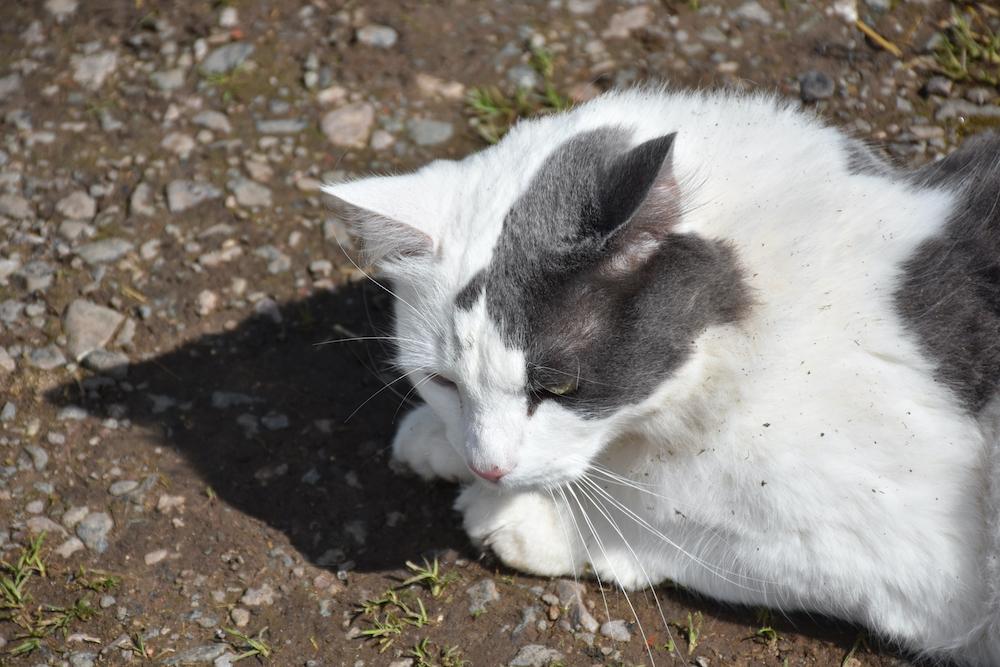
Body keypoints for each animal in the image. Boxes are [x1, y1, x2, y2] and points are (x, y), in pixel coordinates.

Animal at [324, 87, 1000, 664]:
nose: (489, 467)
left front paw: (525, 518)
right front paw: (439, 442)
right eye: (442, 382)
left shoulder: (917, 557)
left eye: (558, 388)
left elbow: (668, 513)